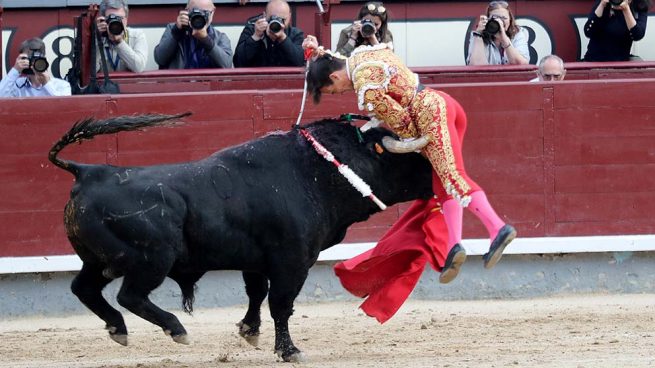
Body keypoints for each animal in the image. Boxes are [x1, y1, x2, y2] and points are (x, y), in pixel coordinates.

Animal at [47, 113, 436, 362]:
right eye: (407, 157)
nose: (436, 179)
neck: (316, 171)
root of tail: (87, 172)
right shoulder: (292, 261)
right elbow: (281, 303)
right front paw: (290, 351)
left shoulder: (257, 262)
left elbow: (256, 294)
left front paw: (250, 331)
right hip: (151, 259)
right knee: (130, 295)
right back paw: (175, 329)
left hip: (98, 261)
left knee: (84, 288)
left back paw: (119, 329)